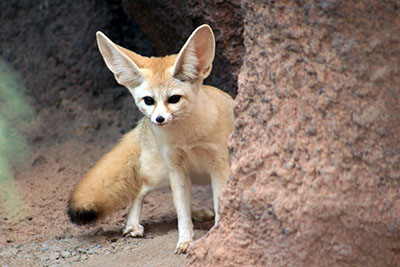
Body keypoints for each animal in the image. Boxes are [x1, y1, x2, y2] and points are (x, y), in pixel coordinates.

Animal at [67, 24, 233, 254]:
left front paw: (217, 233)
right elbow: (181, 212)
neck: (188, 137)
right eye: (148, 100)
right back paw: (132, 225)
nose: (159, 119)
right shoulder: (176, 167)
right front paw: (185, 240)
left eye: (174, 99)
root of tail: (142, 126)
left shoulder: (219, 166)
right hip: (160, 174)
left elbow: (218, 203)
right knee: (140, 190)